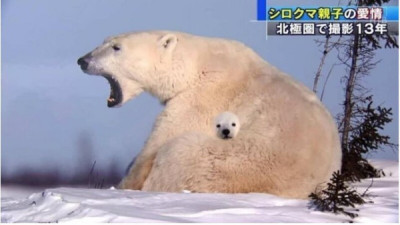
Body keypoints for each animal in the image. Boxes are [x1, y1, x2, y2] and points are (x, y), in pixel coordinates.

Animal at [77, 30, 340, 199]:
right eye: (104, 41)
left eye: (116, 47)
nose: (83, 60)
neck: (194, 65)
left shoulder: (203, 97)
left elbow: (160, 141)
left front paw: (122, 186)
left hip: (230, 164)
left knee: (178, 152)